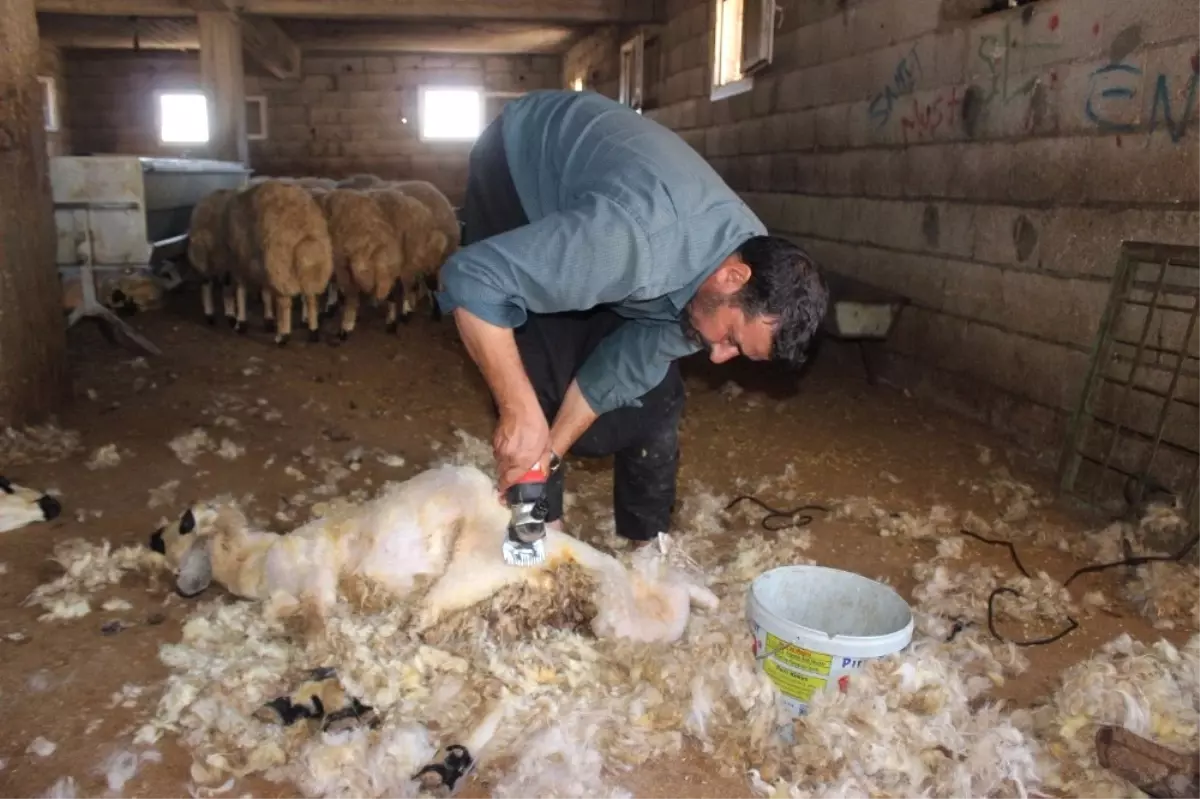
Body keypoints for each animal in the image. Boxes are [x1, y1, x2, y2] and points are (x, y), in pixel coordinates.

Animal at [145, 460, 715, 643]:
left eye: (181, 521)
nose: (152, 537)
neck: (254, 563)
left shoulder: (309, 573)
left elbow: (315, 609)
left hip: (465, 567)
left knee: (425, 611)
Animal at [220, 178, 331, 343]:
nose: (224, 279)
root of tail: (304, 229)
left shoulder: (241, 263)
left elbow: (241, 291)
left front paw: (241, 323)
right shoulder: (263, 267)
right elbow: (265, 293)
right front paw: (268, 319)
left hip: (280, 265)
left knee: (285, 301)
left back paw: (282, 336)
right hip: (313, 268)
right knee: (311, 298)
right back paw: (313, 332)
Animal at [316, 189, 405, 338]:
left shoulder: (341, 266)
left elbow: (347, 293)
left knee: (352, 296)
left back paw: (346, 326)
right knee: (392, 293)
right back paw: (391, 322)